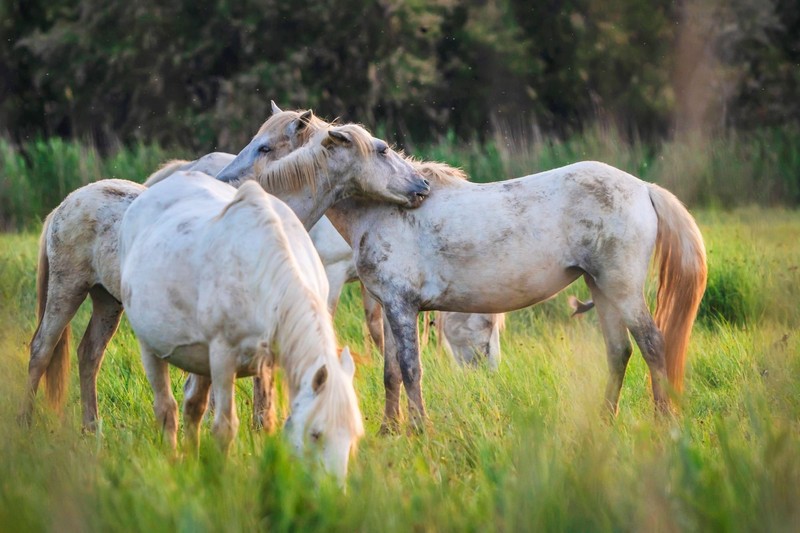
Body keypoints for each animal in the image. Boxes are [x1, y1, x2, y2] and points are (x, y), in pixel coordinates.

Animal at [18, 107, 428, 428]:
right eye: (382, 149)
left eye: (264, 146)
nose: (421, 184)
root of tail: (66, 204)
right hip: (67, 290)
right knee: (41, 350)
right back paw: (26, 425)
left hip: (107, 302)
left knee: (89, 355)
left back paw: (93, 429)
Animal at [118, 172, 362, 480]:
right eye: (315, 434)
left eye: (353, 436)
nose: (333, 489)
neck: (263, 271)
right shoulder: (223, 357)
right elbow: (225, 427)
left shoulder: (269, 361)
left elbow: (266, 420)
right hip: (150, 347)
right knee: (166, 409)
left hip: (200, 358)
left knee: (193, 407)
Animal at [318, 160, 708, 430]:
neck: (381, 209)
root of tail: (643, 188)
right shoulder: (390, 305)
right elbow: (392, 371)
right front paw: (389, 429)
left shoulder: (396, 304)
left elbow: (408, 368)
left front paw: (415, 429)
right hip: (601, 287)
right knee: (619, 351)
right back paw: (604, 419)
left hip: (622, 289)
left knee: (652, 344)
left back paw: (662, 421)